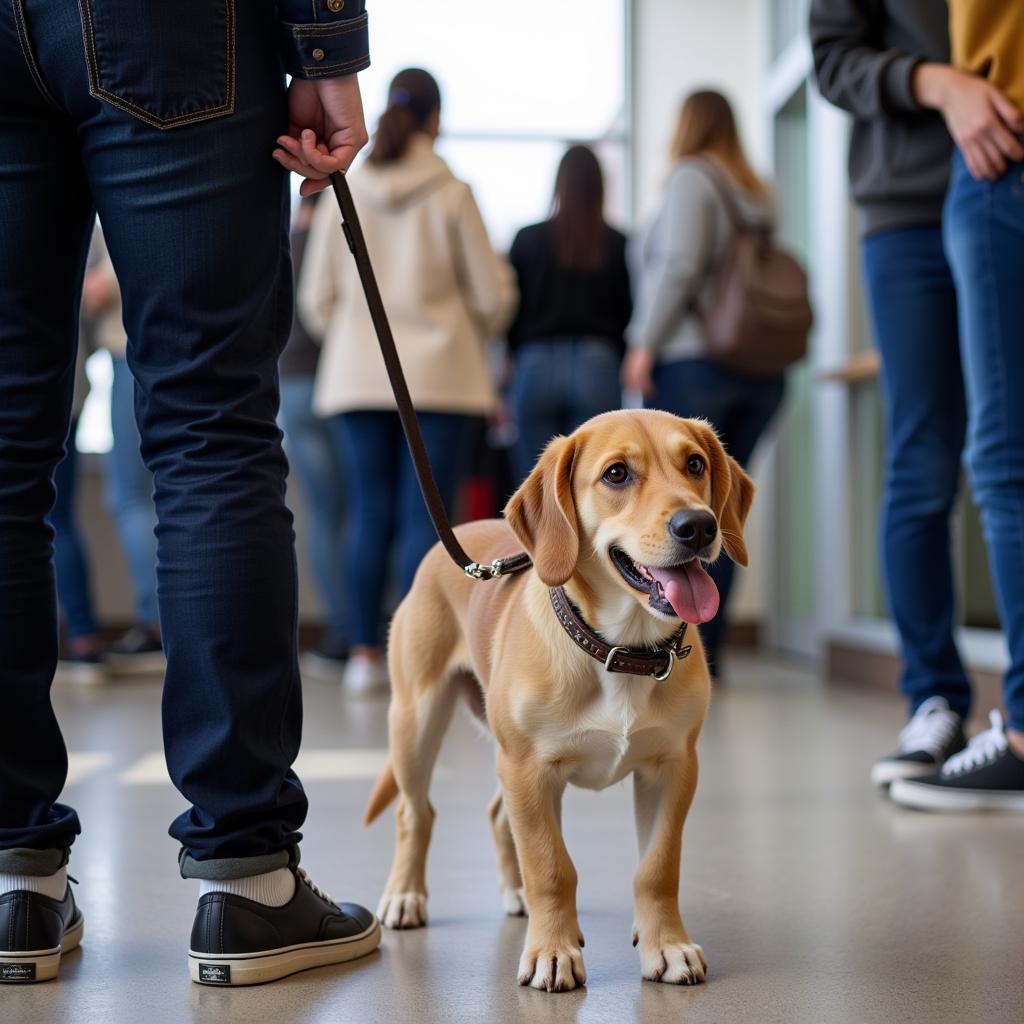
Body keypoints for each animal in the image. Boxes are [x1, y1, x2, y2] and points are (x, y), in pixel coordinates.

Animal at [364, 407, 757, 991]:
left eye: (695, 464)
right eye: (617, 474)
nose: (699, 526)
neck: (619, 649)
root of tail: (453, 539)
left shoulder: (672, 767)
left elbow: (657, 867)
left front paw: (666, 946)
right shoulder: (529, 769)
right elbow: (551, 866)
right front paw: (552, 951)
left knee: (497, 815)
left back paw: (515, 893)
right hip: (417, 722)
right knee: (416, 813)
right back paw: (406, 896)